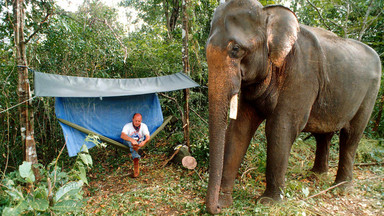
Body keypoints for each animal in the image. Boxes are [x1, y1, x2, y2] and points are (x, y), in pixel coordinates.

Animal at [206, 0, 380, 214]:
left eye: (236, 49)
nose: (216, 208)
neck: (269, 13)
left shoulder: (302, 76)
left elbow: (280, 128)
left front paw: (268, 203)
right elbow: (239, 129)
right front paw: (225, 202)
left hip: (371, 92)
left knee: (351, 135)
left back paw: (341, 189)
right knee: (324, 134)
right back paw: (316, 175)